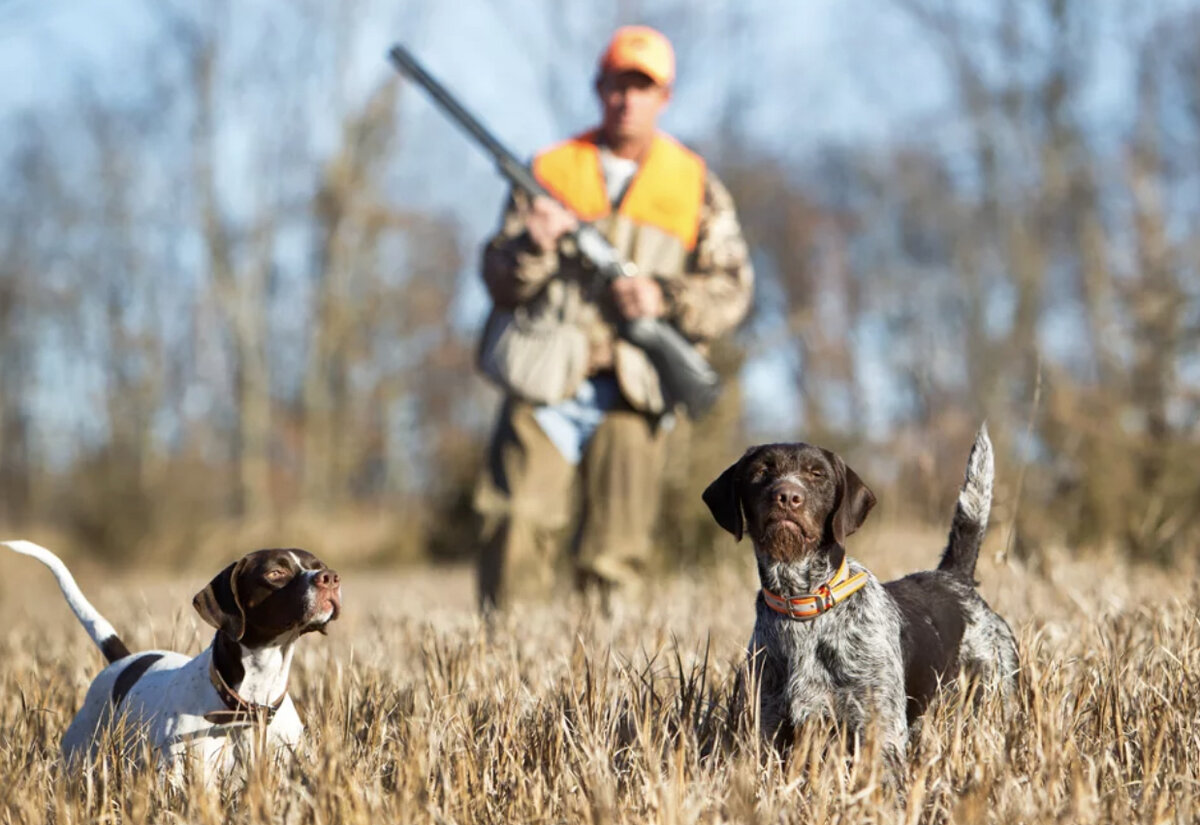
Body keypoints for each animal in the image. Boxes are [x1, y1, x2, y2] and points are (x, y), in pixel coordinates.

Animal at [2, 542, 340, 781]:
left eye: (318, 566)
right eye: (275, 573)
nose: (330, 578)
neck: (248, 702)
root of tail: (123, 661)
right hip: (79, 759)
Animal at [700, 429, 1022, 762]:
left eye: (817, 474)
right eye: (761, 471)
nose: (788, 496)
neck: (803, 607)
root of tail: (955, 578)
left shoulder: (879, 731)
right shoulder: (766, 729)